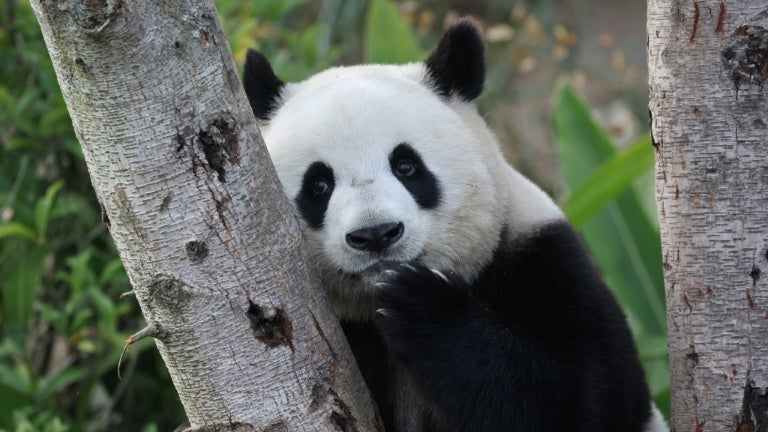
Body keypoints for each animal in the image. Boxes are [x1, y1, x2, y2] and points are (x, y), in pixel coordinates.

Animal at [243, 19, 667, 432]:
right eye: (319, 185)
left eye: (407, 166)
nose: (376, 234)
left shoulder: (547, 263)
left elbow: (581, 398)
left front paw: (420, 305)